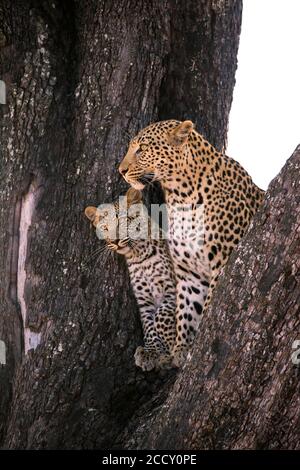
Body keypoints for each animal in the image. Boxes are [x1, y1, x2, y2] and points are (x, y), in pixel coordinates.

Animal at [118, 119, 264, 366]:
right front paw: (181, 350)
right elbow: (186, 311)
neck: (180, 196)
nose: (121, 171)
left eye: (142, 149)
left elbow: (208, 307)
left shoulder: (222, 262)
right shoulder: (189, 273)